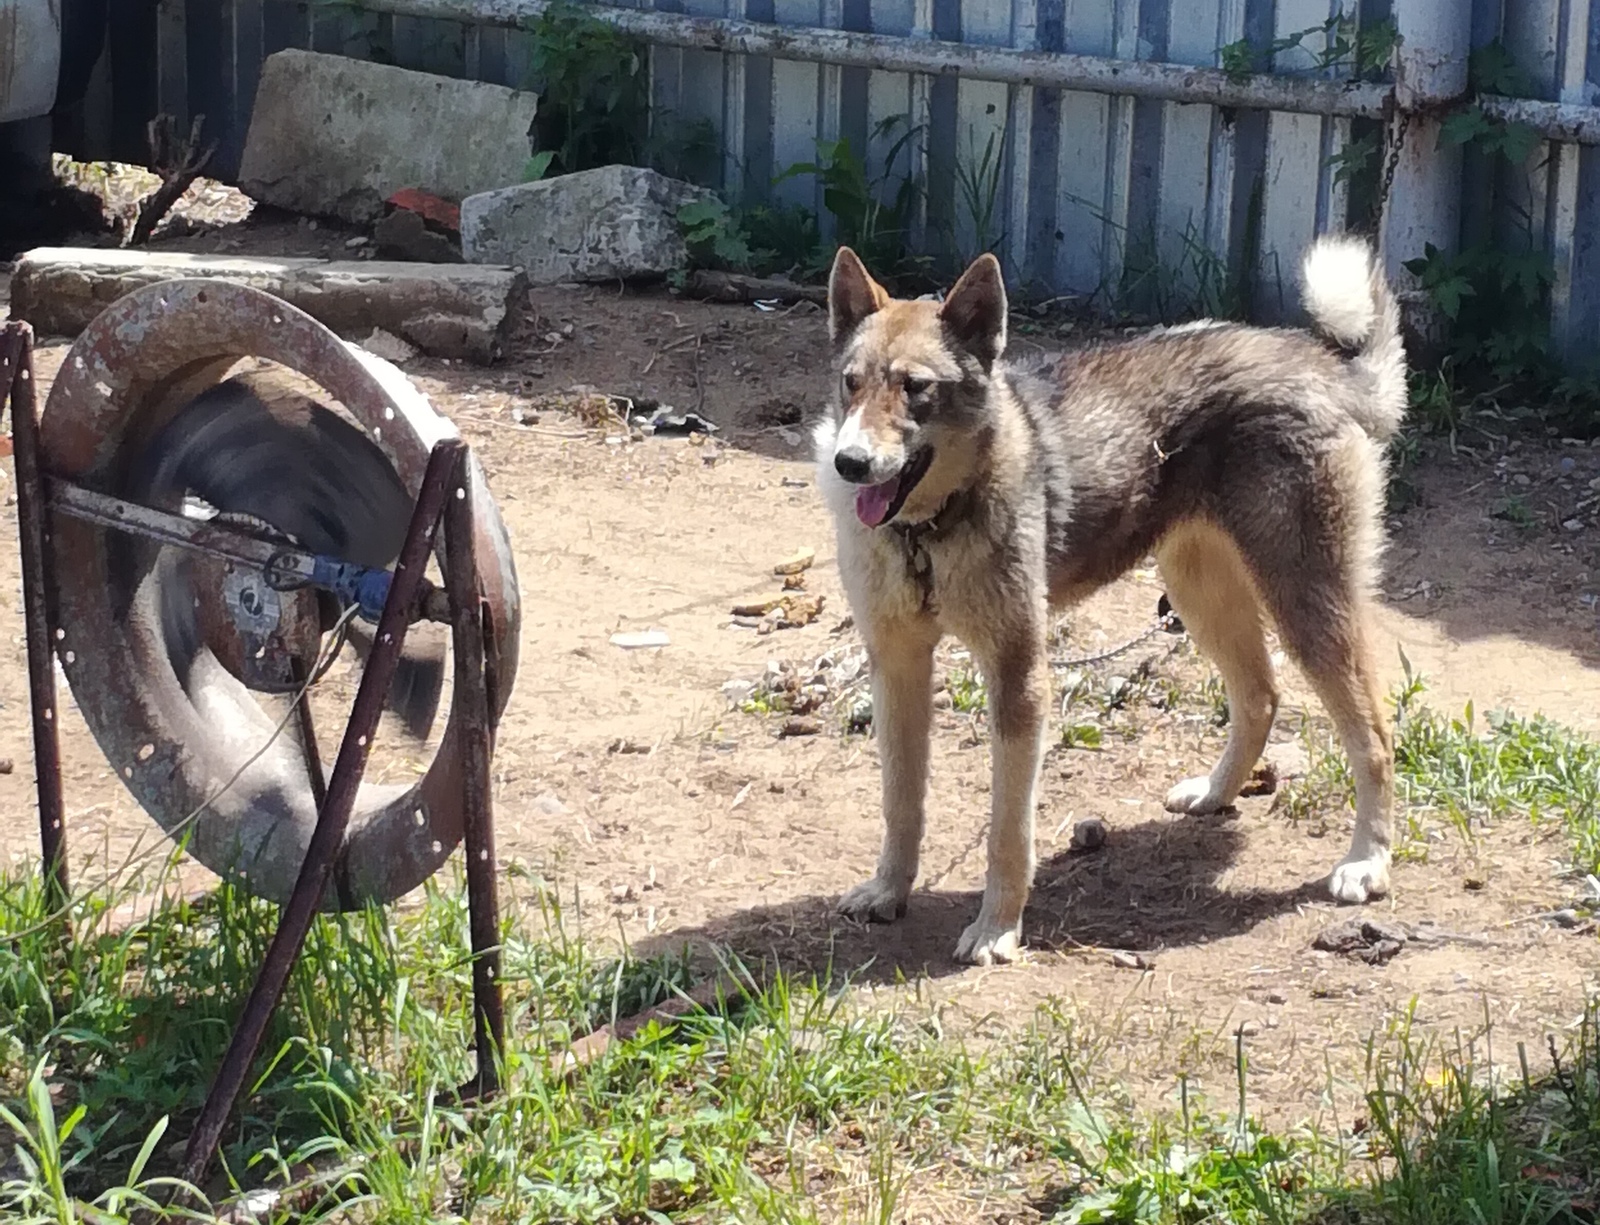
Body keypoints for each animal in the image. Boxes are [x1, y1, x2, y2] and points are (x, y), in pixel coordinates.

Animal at [819, 239, 1408, 965]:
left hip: (1305, 604)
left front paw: (997, 928)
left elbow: (1008, 832)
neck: (927, 532)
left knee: (1375, 736)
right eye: (851, 381)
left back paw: (1368, 862)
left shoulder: (1019, 678)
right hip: (1199, 591)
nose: (849, 462)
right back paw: (1216, 792)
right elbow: (901, 802)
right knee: (1261, 696)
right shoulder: (896, 666)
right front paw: (888, 890)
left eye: (917, 388)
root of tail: (1321, 366)